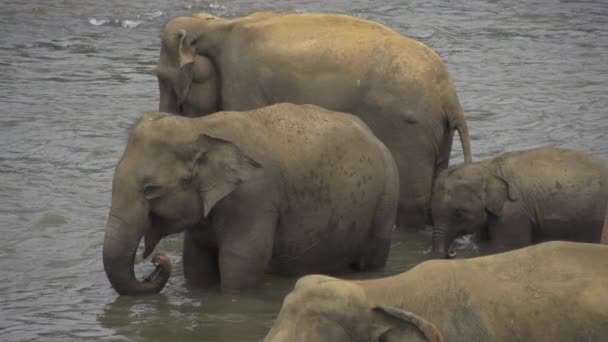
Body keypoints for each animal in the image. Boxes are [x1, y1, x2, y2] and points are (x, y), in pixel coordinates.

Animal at [103, 103, 400, 296]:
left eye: (149, 189)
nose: (158, 262)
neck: (200, 126)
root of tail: (377, 139)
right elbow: (196, 265)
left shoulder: (253, 199)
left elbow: (240, 265)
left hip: (384, 204)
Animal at [154, 11, 472, 230]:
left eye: (162, 77)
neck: (218, 26)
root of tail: (449, 95)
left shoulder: (242, 82)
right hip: (435, 130)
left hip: (407, 128)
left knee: (411, 201)